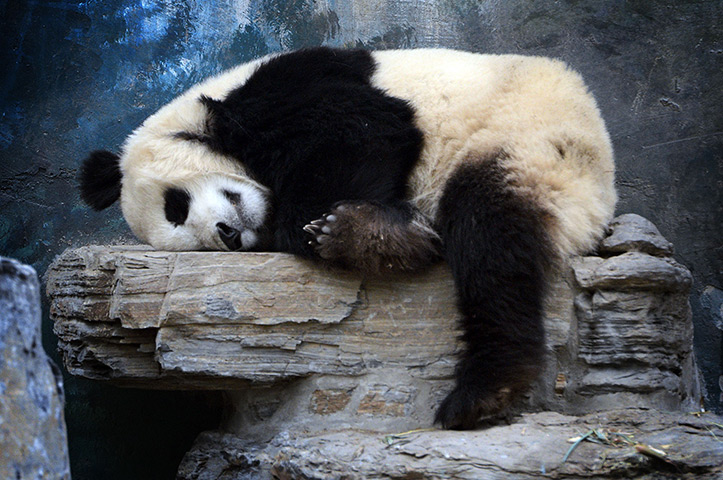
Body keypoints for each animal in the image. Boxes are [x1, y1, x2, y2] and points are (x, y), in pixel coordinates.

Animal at [79, 47, 616, 430]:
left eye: (176, 206)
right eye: (187, 238)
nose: (227, 235)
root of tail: (601, 191)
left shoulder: (278, 89)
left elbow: (362, 128)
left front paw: (364, 229)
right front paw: (379, 230)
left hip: (528, 134)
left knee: (492, 240)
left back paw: (483, 392)